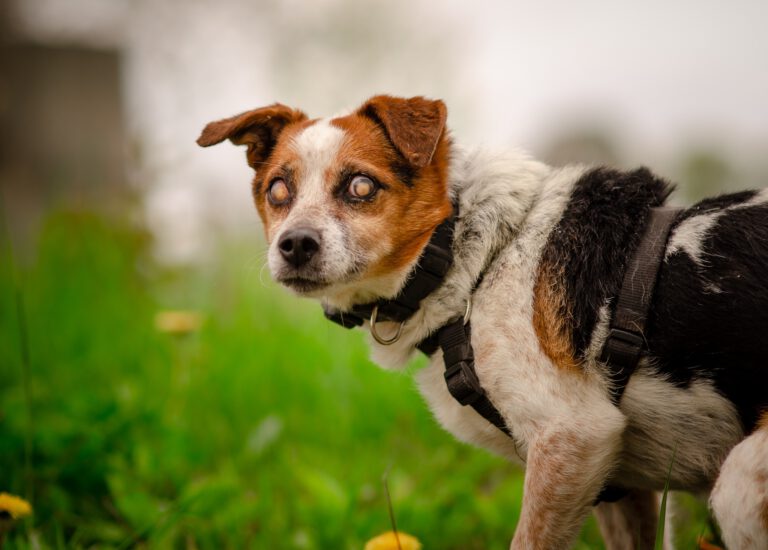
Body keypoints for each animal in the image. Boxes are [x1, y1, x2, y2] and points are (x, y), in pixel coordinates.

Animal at [200, 97, 768, 548]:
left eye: (361, 185)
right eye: (278, 190)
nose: (294, 244)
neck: (468, 256)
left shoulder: (572, 438)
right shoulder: (616, 482)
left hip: (739, 485)